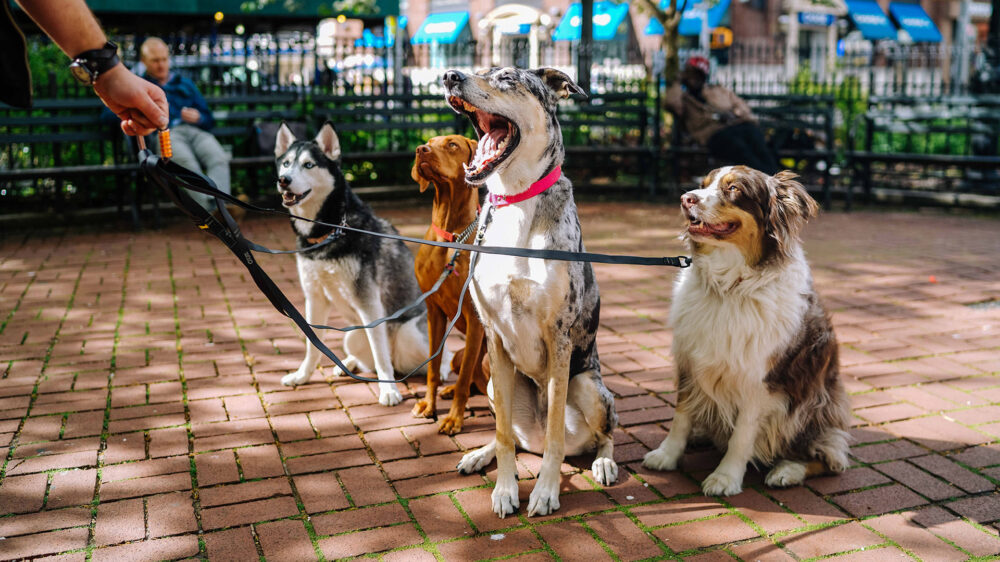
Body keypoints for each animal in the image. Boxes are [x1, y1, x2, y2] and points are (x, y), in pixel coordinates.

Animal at [412, 135, 490, 434]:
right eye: (428, 142)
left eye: (452, 144)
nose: (420, 150)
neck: (450, 237)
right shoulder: (433, 310)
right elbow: (433, 368)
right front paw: (429, 404)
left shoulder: (475, 319)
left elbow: (464, 379)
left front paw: (454, 419)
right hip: (456, 354)